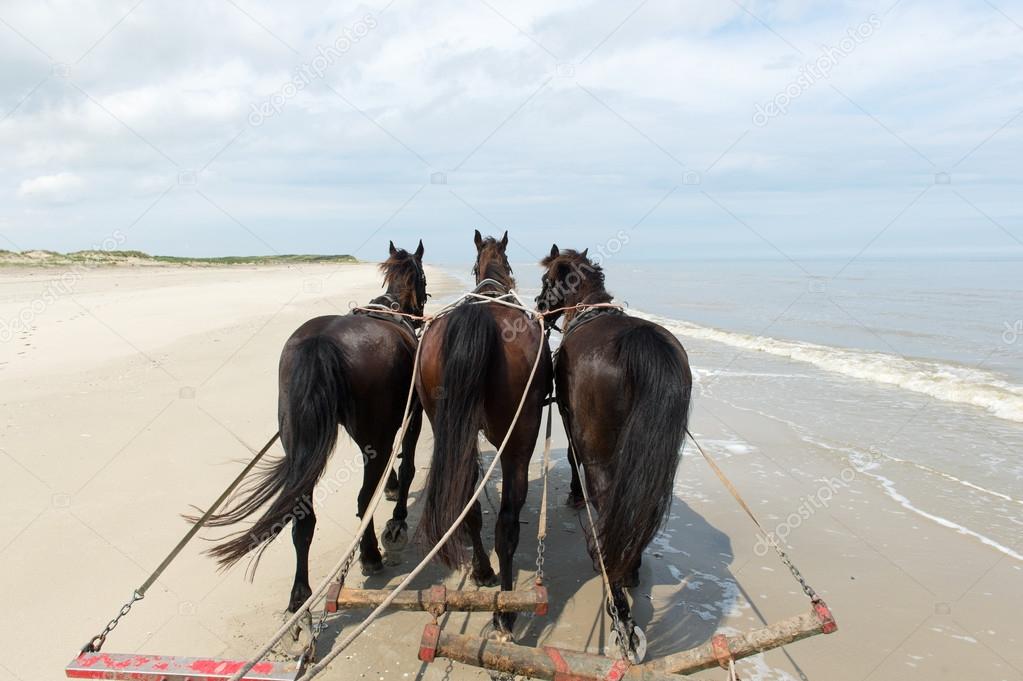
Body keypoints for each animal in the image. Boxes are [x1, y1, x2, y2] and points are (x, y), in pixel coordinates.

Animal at [195, 241, 427, 613]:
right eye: (422, 276)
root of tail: (320, 343)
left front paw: (390, 489)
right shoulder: (412, 414)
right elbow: (406, 467)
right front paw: (399, 514)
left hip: (297, 440)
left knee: (303, 517)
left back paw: (300, 594)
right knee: (364, 499)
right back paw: (370, 555)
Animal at [413, 231, 552, 633]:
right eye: (507, 261)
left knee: (468, 502)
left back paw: (483, 570)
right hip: (520, 435)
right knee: (507, 523)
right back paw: (505, 608)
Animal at [536, 244, 695, 658]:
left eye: (545, 280)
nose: (539, 306)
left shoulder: (570, 419)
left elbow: (573, 460)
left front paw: (574, 496)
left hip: (599, 452)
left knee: (608, 500)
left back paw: (619, 604)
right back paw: (629, 570)